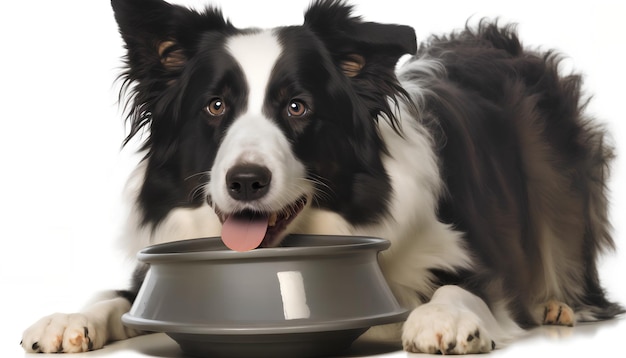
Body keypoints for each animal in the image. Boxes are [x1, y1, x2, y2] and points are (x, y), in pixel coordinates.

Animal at [20, 0, 624, 354]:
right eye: (215, 106)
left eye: (297, 107)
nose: (245, 181)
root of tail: (494, 39)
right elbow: (117, 295)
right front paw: (68, 317)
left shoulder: (475, 261)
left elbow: (464, 287)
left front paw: (440, 319)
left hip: (555, 171)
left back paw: (559, 304)